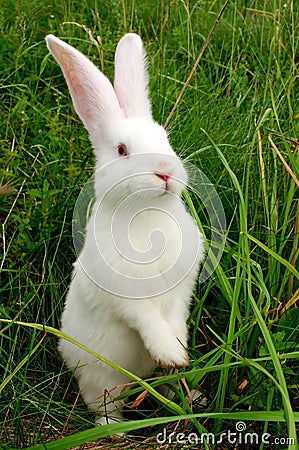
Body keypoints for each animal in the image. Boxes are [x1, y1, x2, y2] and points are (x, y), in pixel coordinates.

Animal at [46, 33, 206, 424]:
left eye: (165, 139)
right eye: (122, 150)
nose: (165, 170)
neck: (147, 217)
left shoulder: (181, 289)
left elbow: (174, 317)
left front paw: (179, 353)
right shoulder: (127, 296)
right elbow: (148, 320)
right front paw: (172, 354)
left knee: (163, 387)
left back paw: (190, 396)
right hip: (102, 379)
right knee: (105, 405)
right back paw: (113, 429)